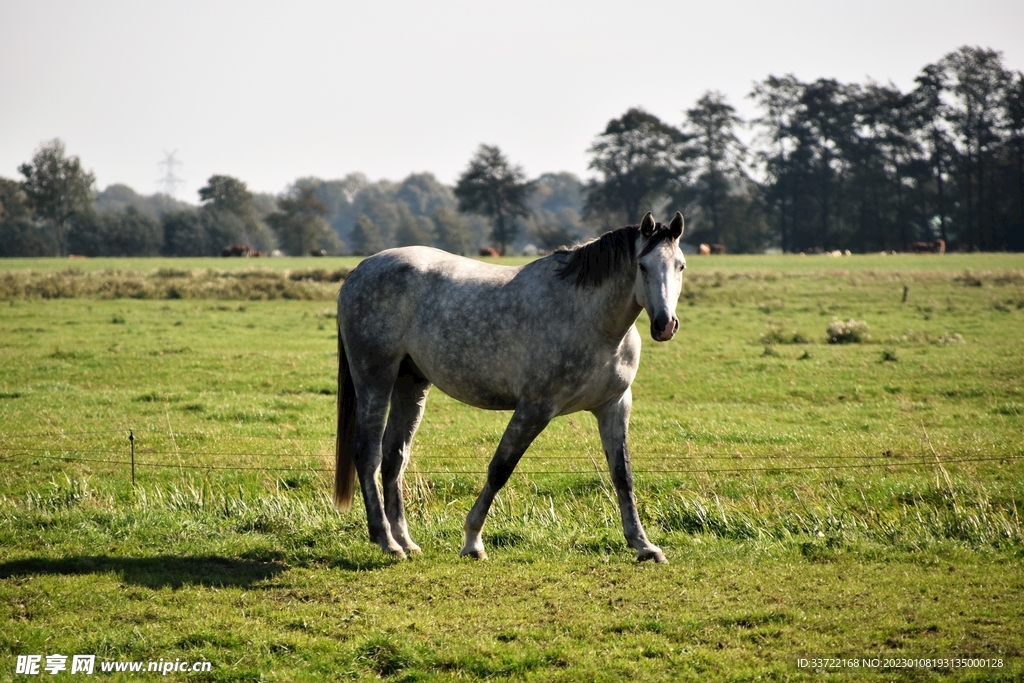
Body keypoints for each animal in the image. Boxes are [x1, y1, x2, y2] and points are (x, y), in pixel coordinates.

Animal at [334, 211, 686, 563]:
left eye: (680, 265)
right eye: (643, 266)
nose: (665, 325)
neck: (591, 320)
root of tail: (360, 271)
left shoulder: (614, 405)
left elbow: (622, 475)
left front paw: (644, 545)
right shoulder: (535, 408)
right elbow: (500, 469)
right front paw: (472, 541)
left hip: (411, 383)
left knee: (395, 457)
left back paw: (405, 541)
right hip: (375, 379)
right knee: (367, 453)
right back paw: (386, 541)